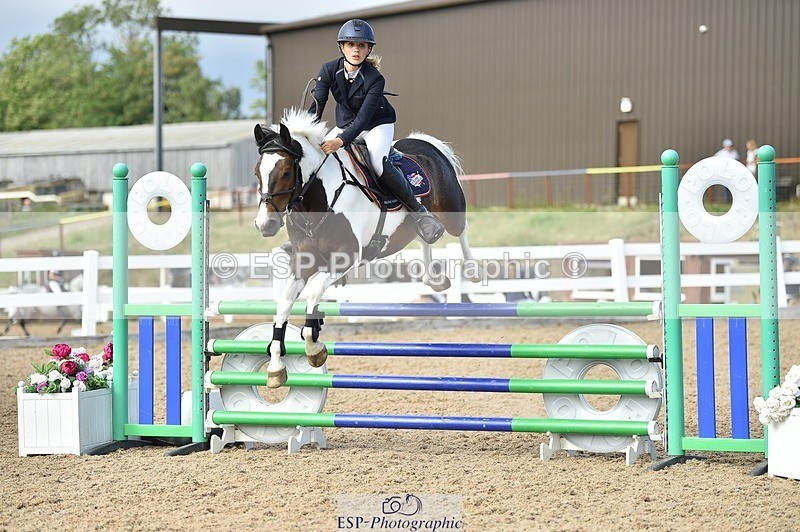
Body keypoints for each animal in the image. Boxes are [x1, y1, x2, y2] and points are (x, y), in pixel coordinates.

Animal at [254, 108, 480, 387]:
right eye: (257, 173)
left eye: (286, 172)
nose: (265, 224)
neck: (318, 199)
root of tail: (426, 143)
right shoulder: (302, 262)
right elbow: (284, 304)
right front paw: (275, 367)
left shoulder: (345, 257)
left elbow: (314, 292)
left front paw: (314, 348)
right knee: (424, 236)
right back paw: (435, 279)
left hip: (451, 208)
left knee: (461, 230)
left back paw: (473, 271)